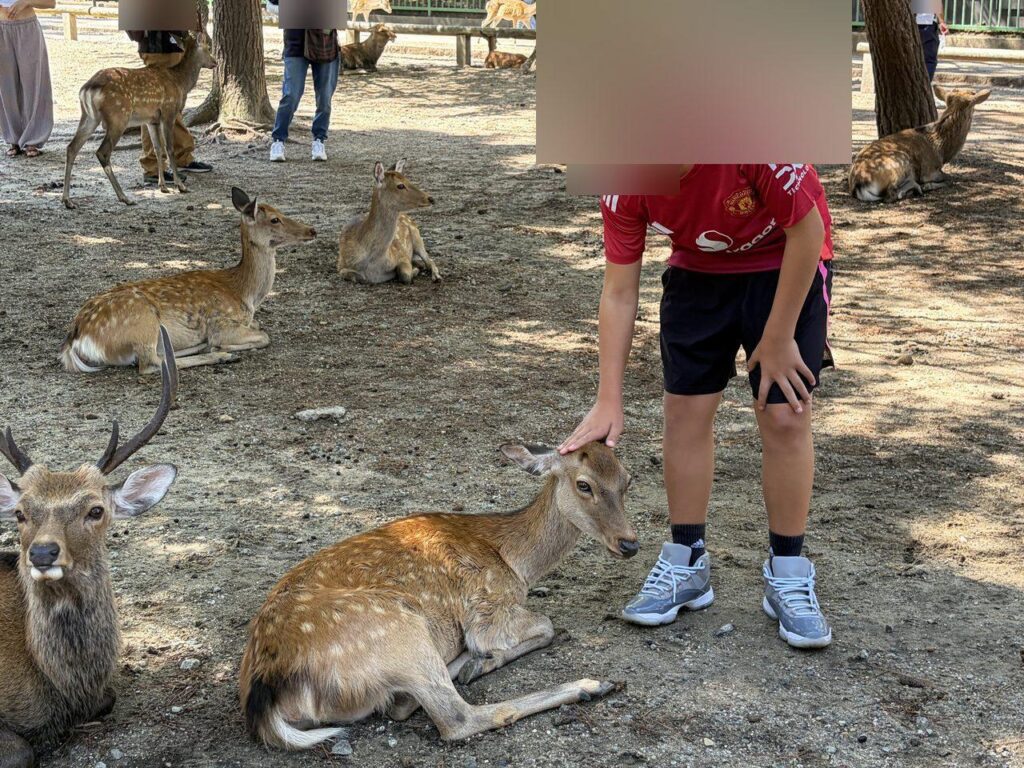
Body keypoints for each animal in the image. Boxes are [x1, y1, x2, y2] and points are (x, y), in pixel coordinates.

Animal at [60, 187, 317, 375]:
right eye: (275, 219)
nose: (311, 230)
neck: (244, 293)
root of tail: (75, 339)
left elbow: (259, 327)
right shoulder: (221, 323)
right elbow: (264, 336)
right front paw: (223, 346)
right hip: (143, 323)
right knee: (149, 364)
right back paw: (220, 355)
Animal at [61, 30, 216, 209]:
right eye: (207, 48)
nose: (215, 62)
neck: (180, 82)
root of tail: (87, 88)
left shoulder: (151, 119)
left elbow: (157, 148)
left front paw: (163, 186)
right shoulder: (168, 112)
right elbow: (169, 148)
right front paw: (180, 186)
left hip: (89, 116)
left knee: (72, 147)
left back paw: (67, 200)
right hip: (118, 117)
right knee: (102, 152)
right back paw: (124, 197)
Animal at [239, 441, 637, 750]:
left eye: (627, 480)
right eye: (584, 484)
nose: (630, 543)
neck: (516, 564)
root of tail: (268, 697)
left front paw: (481, 661)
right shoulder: (489, 610)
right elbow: (547, 624)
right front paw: (486, 657)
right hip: (400, 629)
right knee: (456, 718)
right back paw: (589, 685)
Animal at [848, 86, 991, 203]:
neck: (941, 150)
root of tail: (859, 185)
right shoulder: (929, 171)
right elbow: (949, 177)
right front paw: (928, 185)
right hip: (900, 161)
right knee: (891, 195)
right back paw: (917, 188)